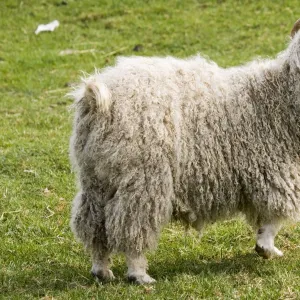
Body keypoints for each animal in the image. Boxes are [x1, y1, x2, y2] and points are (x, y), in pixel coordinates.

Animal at [70, 19, 300, 282]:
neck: (278, 97)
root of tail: (100, 99)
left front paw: (266, 247)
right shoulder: (274, 172)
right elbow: (275, 216)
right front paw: (266, 247)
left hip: (96, 178)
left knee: (95, 227)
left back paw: (102, 269)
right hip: (142, 178)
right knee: (133, 228)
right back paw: (139, 275)